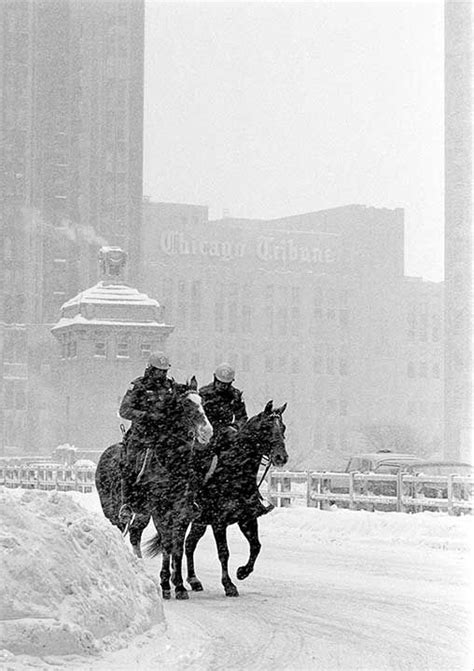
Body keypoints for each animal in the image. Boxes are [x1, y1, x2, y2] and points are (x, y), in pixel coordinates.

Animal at [96, 376, 213, 600]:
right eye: (186, 405)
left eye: (202, 402)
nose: (207, 431)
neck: (169, 461)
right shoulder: (160, 510)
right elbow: (167, 543)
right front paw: (166, 585)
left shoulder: (181, 510)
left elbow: (177, 546)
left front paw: (179, 585)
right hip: (113, 508)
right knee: (120, 528)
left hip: (142, 513)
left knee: (135, 532)